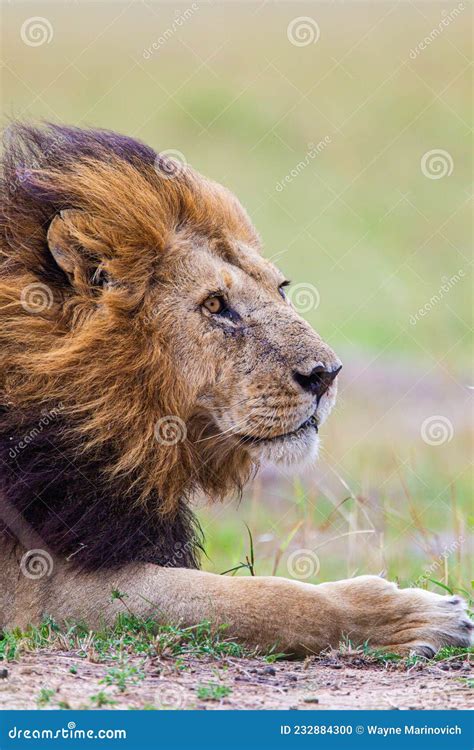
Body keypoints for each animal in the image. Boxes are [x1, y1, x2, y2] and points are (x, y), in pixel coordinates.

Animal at [0, 125, 472, 656]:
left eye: (281, 288)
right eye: (215, 304)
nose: (327, 374)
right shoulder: (41, 594)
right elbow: (263, 599)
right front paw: (415, 616)